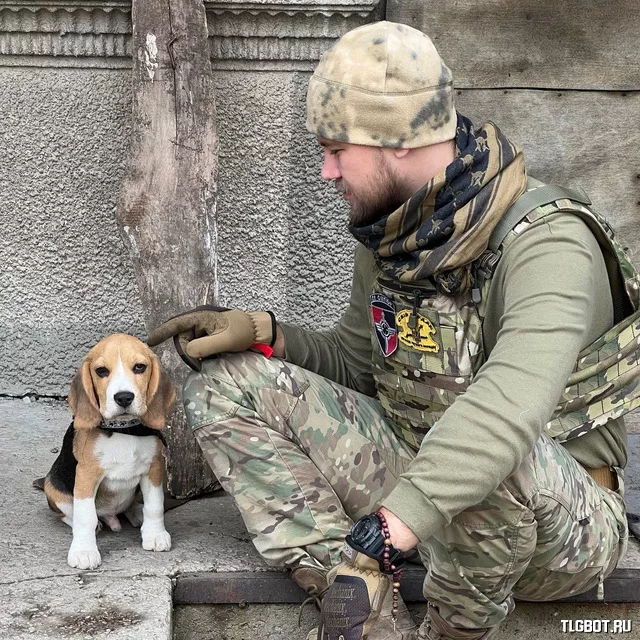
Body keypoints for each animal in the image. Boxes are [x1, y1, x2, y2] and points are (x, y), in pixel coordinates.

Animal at [44, 332, 175, 568]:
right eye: (101, 371)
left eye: (140, 367)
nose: (124, 397)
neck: (123, 429)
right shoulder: (86, 475)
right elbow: (85, 516)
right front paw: (84, 551)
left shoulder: (154, 468)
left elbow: (155, 505)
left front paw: (155, 534)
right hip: (53, 488)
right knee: (70, 514)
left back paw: (137, 513)